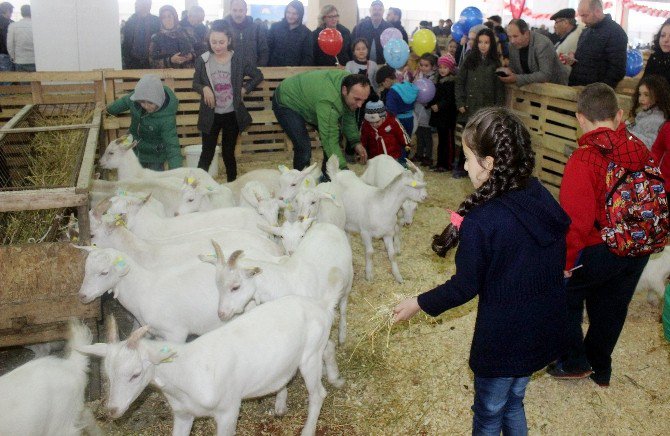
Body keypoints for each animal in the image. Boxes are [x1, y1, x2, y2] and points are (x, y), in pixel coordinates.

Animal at [77, 247, 222, 342]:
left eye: (104, 272)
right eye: (85, 269)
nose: (82, 295)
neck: (142, 291)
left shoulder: (175, 333)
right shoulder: (158, 334)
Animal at [79, 292, 342, 436]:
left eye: (135, 374)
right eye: (107, 375)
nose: (112, 410)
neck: (186, 373)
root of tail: (320, 306)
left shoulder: (228, 410)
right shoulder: (183, 415)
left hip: (310, 356)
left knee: (318, 393)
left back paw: (308, 428)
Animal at [209, 221, 356, 344]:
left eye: (235, 287)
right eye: (217, 286)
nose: (221, 314)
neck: (285, 281)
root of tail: (329, 225)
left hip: (348, 281)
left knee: (343, 305)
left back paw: (342, 335)